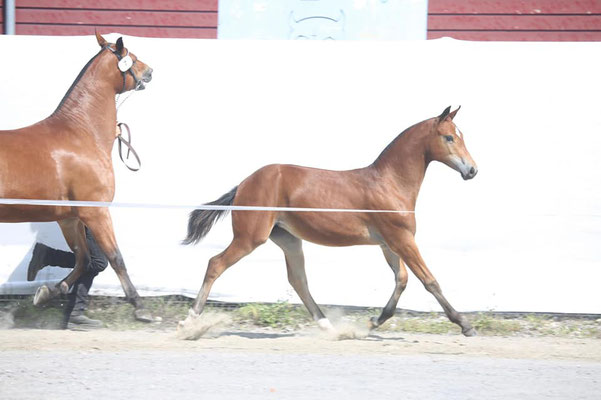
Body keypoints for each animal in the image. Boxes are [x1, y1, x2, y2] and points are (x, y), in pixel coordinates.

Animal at [1, 32, 155, 322]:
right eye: (131, 55)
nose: (150, 71)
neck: (82, 132)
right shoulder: (96, 212)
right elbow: (115, 257)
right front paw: (140, 307)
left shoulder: (70, 218)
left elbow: (83, 259)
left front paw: (47, 292)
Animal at [183, 105, 478, 334]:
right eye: (449, 137)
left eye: (460, 135)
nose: (472, 170)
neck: (389, 182)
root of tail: (244, 184)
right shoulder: (402, 239)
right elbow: (429, 280)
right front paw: (465, 325)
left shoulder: (389, 243)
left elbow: (401, 279)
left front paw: (375, 321)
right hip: (249, 238)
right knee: (216, 264)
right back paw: (190, 321)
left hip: (289, 240)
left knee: (298, 280)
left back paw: (328, 327)